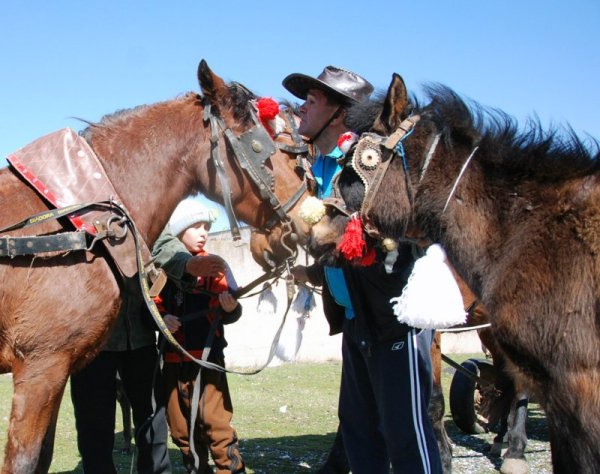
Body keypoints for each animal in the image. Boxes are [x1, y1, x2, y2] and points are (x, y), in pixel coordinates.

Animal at [0, 60, 310, 474]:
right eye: (262, 146)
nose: (316, 221)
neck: (77, 226)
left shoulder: (53, 370)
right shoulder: (40, 367)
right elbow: (24, 460)